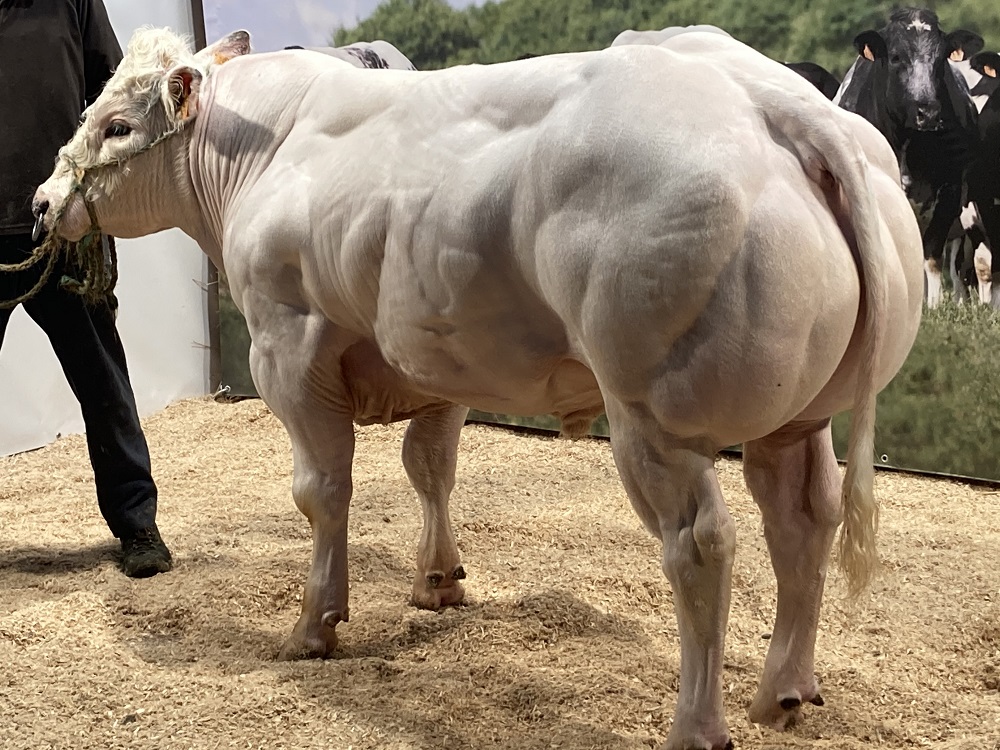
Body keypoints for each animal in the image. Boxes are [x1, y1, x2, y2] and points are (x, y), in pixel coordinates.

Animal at [32, 27, 923, 750]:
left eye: (116, 126)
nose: (41, 204)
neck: (270, 149)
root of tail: (769, 98)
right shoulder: (437, 351)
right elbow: (431, 467)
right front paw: (437, 581)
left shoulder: (285, 341)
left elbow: (323, 491)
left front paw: (315, 625)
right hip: (799, 416)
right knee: (803, 521)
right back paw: (785, 691)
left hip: (652, 417)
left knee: (702, 545)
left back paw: (696, 726)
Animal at [834, 8, 982, 308]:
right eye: (896, 57)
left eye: (941, 58)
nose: (928, 112)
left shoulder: (949, 192)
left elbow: (933, 258)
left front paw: (933, 306)